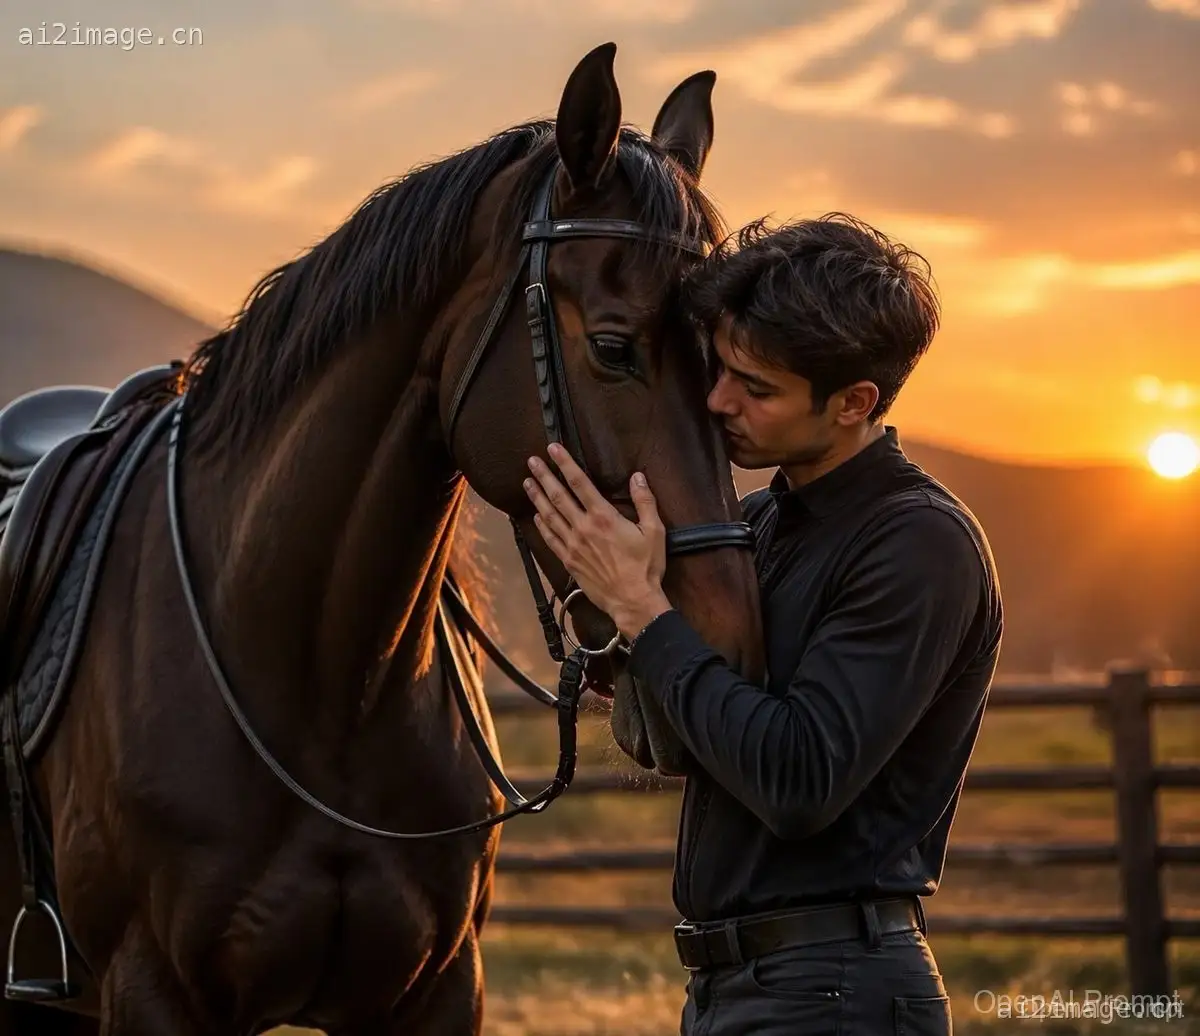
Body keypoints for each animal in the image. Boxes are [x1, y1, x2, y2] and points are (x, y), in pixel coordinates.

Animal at [0, 42, 765, 1035]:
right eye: (611, 347)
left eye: (728, 373)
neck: (322, 692)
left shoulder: (436, 991)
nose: (733, 649)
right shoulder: (151, 993)